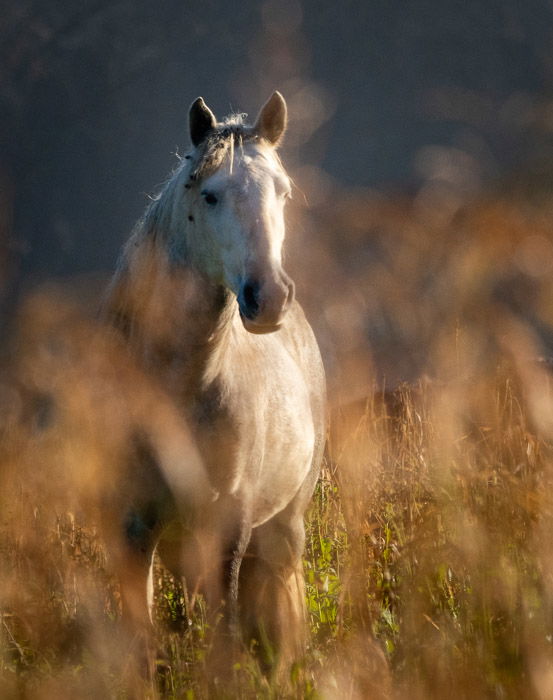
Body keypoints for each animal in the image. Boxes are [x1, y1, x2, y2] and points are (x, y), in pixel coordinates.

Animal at [103, 90, 326, 676]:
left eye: (283, 191)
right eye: (209, 195)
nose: (269, 298)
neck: (178, 388)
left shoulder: (230, 526)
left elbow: (223, 636)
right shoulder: (132, 528)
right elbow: (141, 640)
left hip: (281, 531)